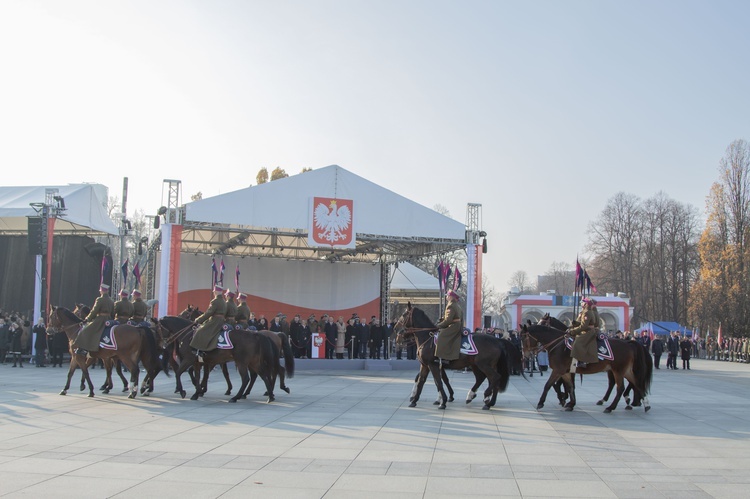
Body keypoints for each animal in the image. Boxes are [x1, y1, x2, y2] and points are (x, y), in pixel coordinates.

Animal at [524, 322, 652, 412]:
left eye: (523, 337)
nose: (525, 354)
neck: (558, 345)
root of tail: (628, 343)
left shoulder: (558, 370)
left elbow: (548, 385)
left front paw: (541, 403)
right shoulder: (565, 372)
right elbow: (570, 387)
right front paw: (570, 403)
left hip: (618, 371)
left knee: (620, 388)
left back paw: (611, 407)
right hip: (625, 371)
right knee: (637, 383)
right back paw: (644, 404)